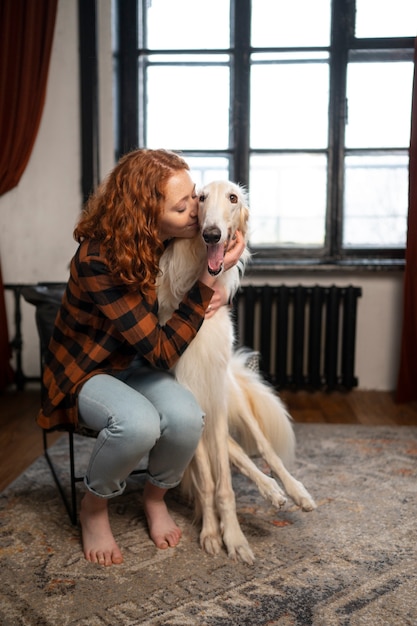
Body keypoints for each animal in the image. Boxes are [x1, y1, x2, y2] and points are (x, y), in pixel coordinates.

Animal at [157, 179, 316, 560]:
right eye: (200, 198)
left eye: (232, 198)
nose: (212, 234)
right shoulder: (195, 406)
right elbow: (208, 482)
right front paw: (213, 533)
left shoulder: (214, 399)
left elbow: (225, 485)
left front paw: (234, 536)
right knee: (238, 455)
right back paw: (271, 491)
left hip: (233, 398)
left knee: (263, 450)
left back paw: (292, 491)